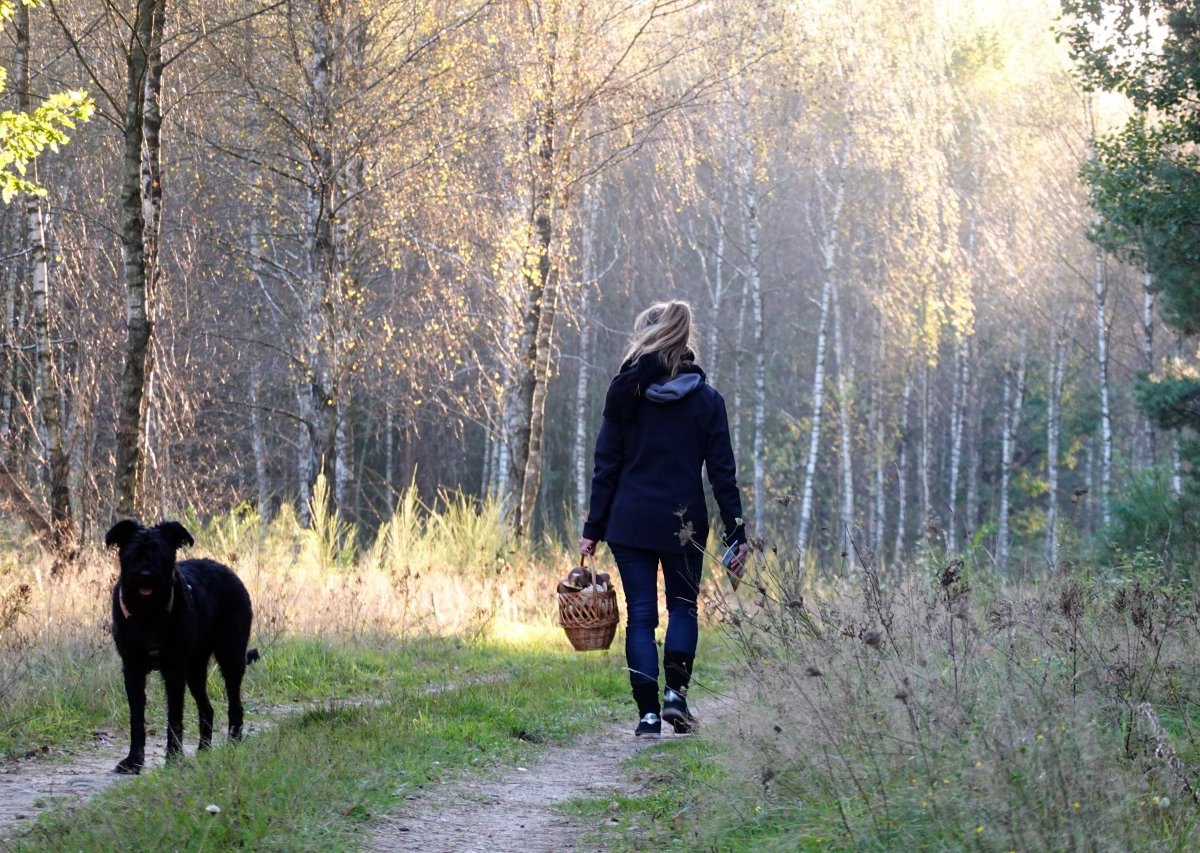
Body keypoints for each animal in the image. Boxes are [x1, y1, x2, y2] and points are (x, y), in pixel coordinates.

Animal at [104, 520, 256, 772]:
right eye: (133, 553)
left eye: (161, 553)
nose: (146, 576)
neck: (148, 616)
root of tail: (227, 570)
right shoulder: (133, 669)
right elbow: (136, 717)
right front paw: (133, 760)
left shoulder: (174, 670)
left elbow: (174, 715)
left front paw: (173, 756)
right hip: (195, 670)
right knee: (207, 708)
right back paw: (204, 749)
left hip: (230, 657)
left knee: (235, 704)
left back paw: (233, 741)